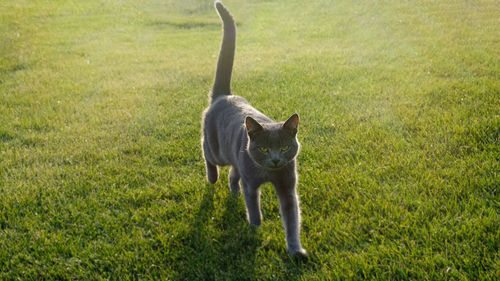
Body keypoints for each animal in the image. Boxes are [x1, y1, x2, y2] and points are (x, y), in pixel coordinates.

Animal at [201, 0, 306, 258]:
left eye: (285, 147)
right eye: (264, 149)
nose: (276, 160)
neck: (269, 174)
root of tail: (224, 95)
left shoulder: (288, 186)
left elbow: (292, 219)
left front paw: (295, 250)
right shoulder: (251, 184)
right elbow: (254, 208)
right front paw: (255, 229)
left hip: (236, 157)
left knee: (233, 173)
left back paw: (231, 189)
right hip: (217, 150)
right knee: (206, 153)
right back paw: (212, 177)